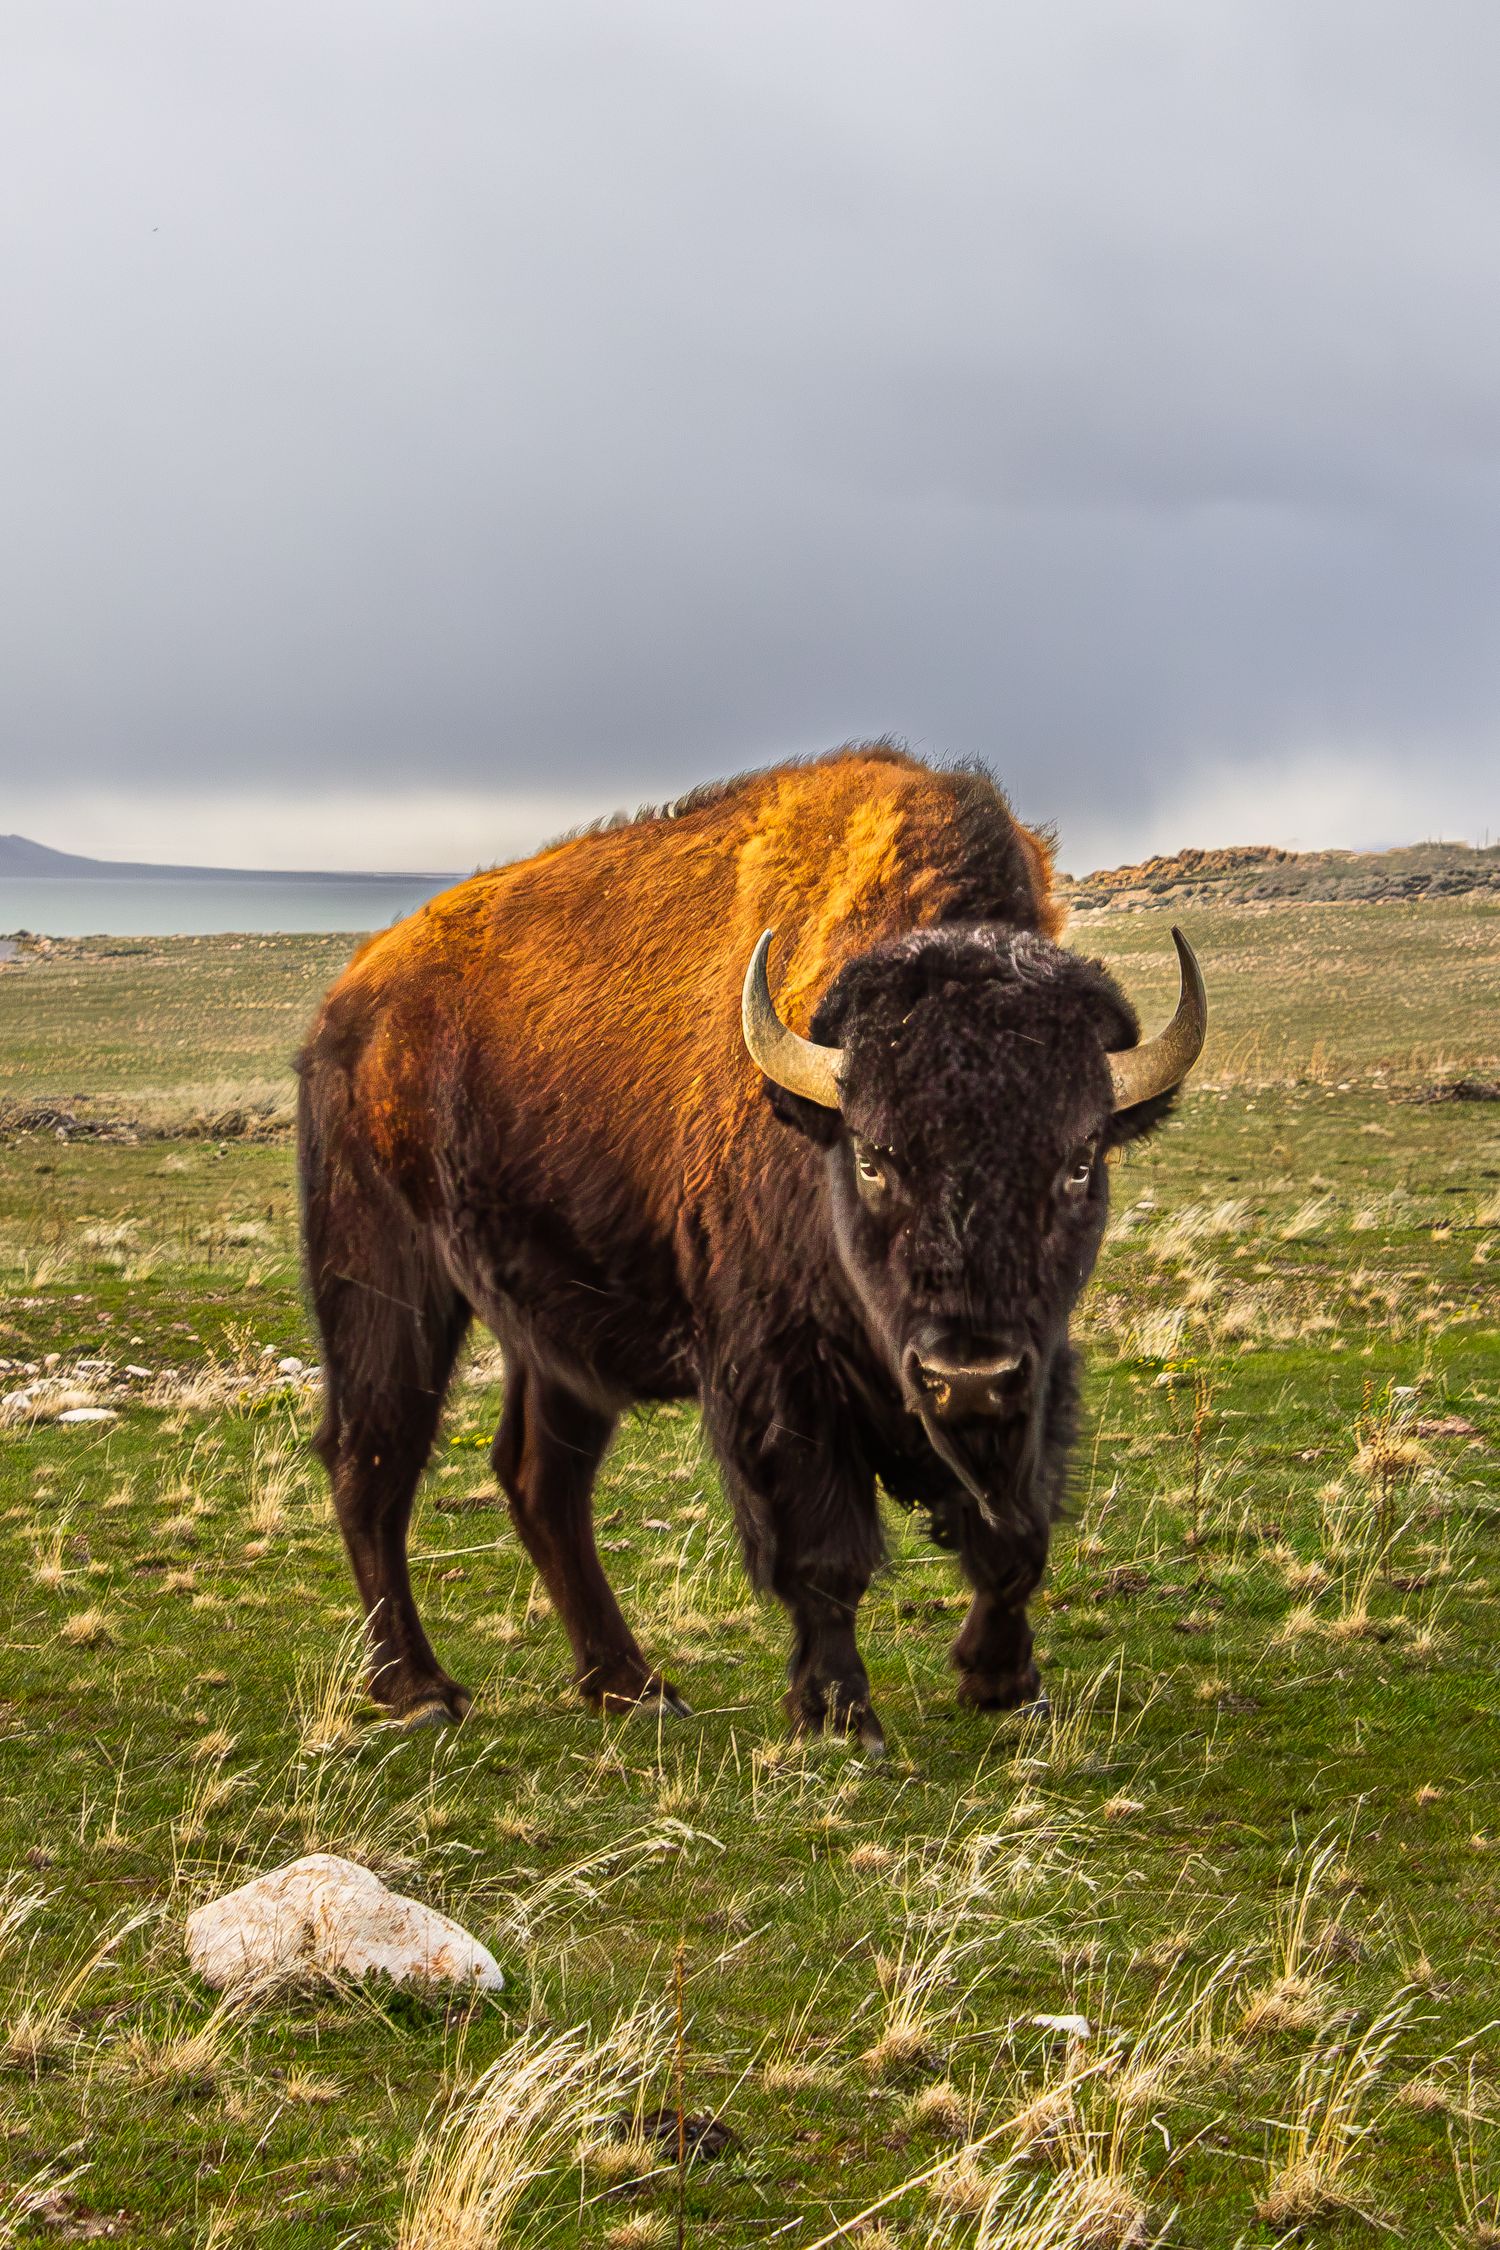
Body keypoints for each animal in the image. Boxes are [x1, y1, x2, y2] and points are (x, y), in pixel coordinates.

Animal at [297, 745, 1206, 1748]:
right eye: (873, 1156)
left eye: (1080, 1160)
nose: (964, 1376)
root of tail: (350, 1005)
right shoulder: (778, 1369)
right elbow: (824, 1549)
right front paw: (842, 1713)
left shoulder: (1034, 1370)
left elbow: (1019, 1532)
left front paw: (1003, 1681)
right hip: (384, 1277)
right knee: (373, 1459)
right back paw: (420, 1690)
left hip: (559, 1329)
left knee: (542, 1479)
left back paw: (632, 1686)